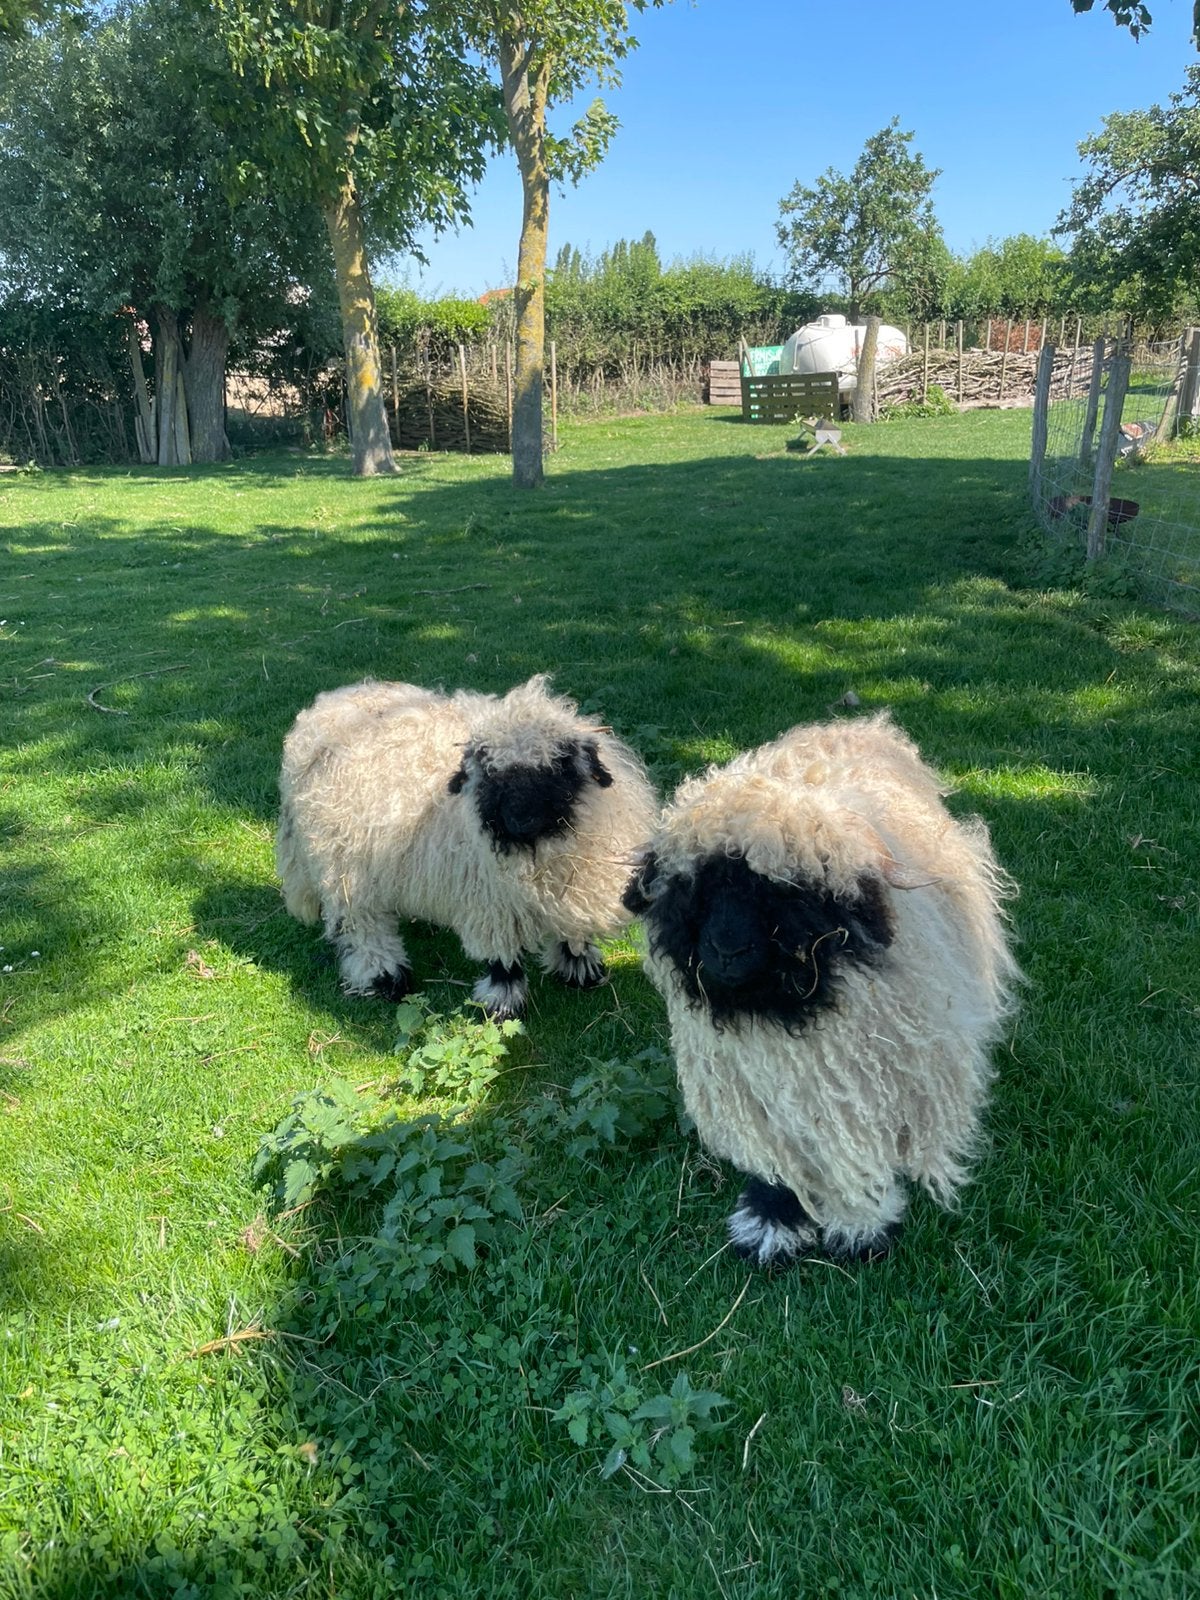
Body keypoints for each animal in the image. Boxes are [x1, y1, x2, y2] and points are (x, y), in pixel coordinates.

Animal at [276, 674, 657, 1019]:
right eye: (489, 772)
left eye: (560, 764)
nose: (518, 820)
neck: (540, 848)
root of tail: (332, 701)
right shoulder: (491, 901)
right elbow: (502, 958)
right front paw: (501, 1003)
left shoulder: (575, 892)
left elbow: (573, 934)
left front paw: (581, 968)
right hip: (345, 865)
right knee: (362, 925)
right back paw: (384, 976)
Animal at [623, 712, 1020, 1268]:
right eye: (693, 886)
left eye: (787, 896)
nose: (726, 950)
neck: (783, 1009)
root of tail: (858, 723)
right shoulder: (758, 1087)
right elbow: (782, 1159)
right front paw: (773, 1217)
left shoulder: (872, 1079)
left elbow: (856, 1152)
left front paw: (861, 1223)